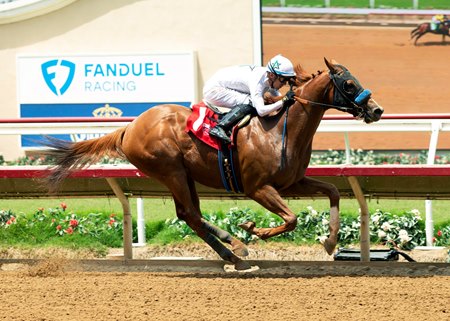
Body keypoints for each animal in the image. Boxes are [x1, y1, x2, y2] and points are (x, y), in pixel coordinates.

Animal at [44, 57, 384, 268]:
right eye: (349, 84)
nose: (377, 110)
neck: (280, 128)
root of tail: (130, 127)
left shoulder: (293, 181)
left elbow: (333, 192)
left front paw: (330, 241)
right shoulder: (257, 187)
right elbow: (291, 219)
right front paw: (253, 229)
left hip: (183, 175)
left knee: (188, 215)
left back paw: (233, 255)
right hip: (171, 170)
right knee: (191, 215)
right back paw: (237, 246)